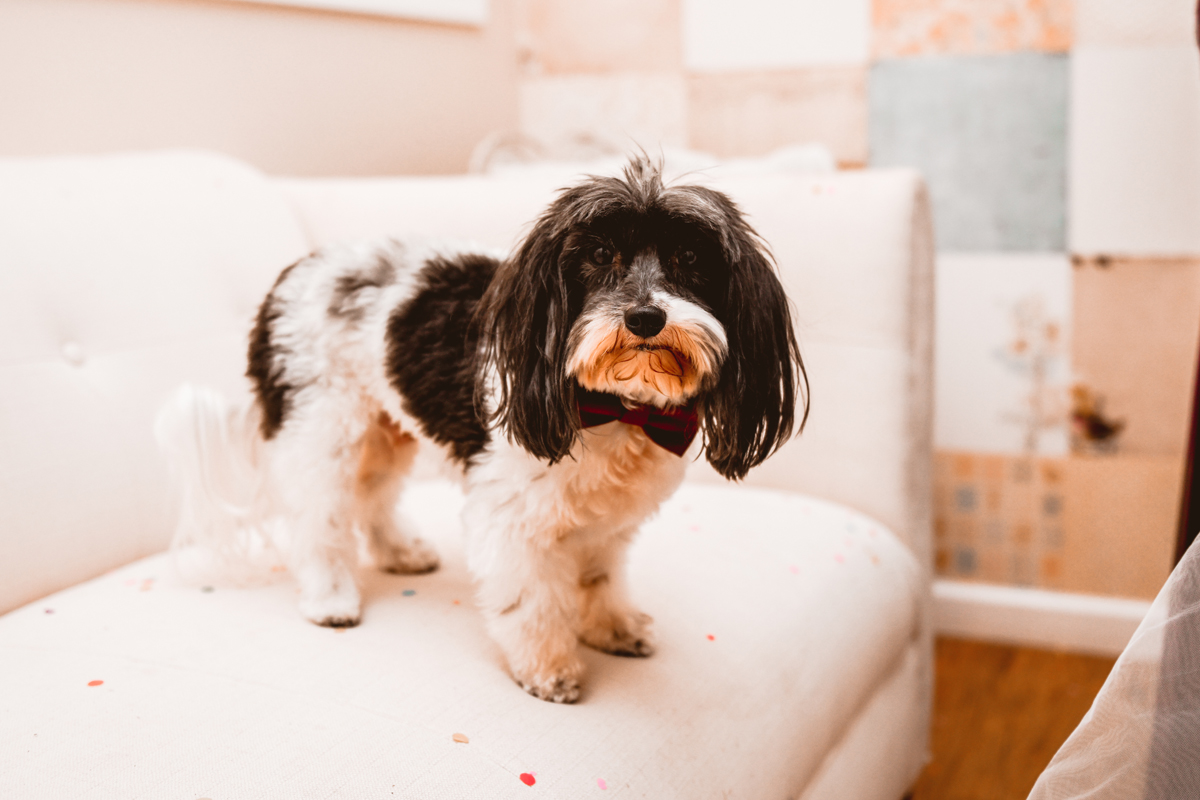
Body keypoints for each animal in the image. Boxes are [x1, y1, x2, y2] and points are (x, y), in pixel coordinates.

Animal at [157, 159, 806, 705]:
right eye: (598, 254)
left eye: (691, 259)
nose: (646, 317)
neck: (618, 407)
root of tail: (294, 272)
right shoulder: (511, 516)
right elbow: (531, 601)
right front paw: (549, 668)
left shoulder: (609, 521)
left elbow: (599, 576)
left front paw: (611, 626)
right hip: (323, 423)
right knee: (319, 514)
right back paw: (330, 595)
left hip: (386, 423)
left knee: (372, 495)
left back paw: (400, 552)